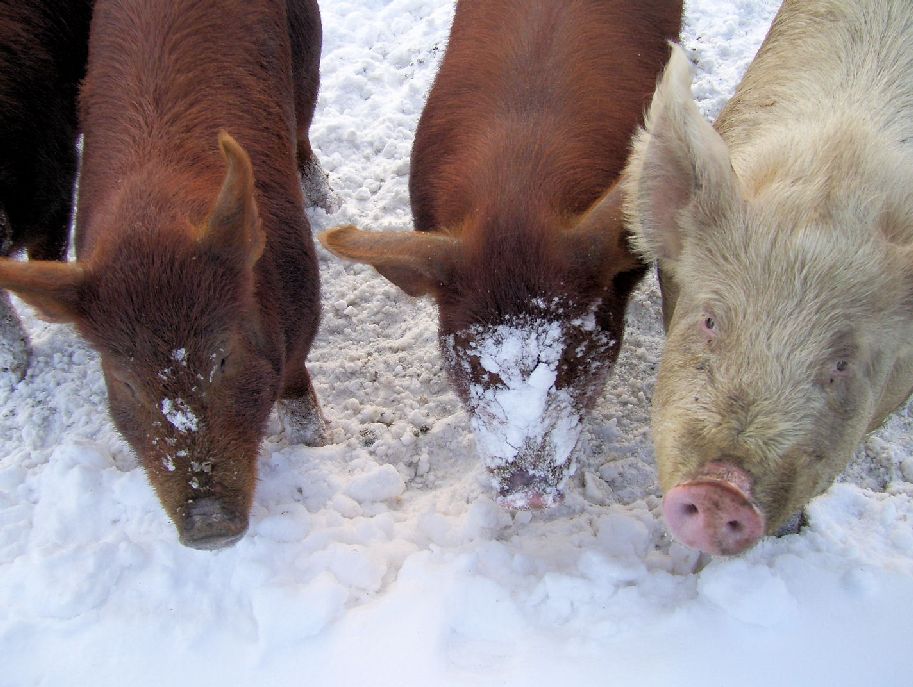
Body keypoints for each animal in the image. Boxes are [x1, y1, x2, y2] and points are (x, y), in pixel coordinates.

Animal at [0, 0, 324, 548]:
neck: (152, 219)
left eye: (222, 355)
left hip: (309, 49)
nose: (209, 525)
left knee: (303, 128)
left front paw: (319, 444)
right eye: (126, 380)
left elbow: (297, 391)